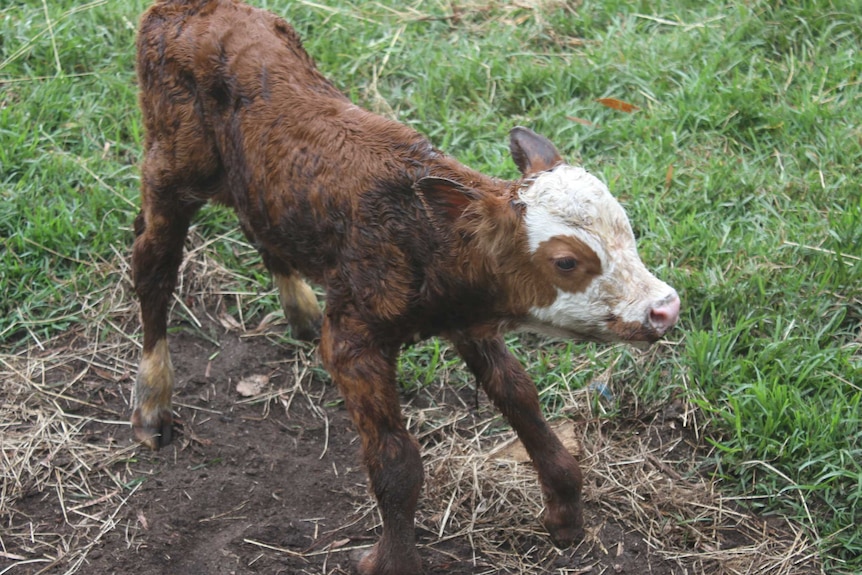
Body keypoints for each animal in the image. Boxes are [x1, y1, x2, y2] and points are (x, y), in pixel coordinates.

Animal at [132, 2, 680, 572]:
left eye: (629, 233)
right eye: (567, 261)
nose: (665, 308)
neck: (423, 236)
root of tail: (184, 9)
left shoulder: (468, 320)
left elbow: (521, 399)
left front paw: (566, 514)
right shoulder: (353, 339)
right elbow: (397, 463)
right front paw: (392, 559)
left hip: (256, 181)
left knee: (255, 222)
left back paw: (300, 310)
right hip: (171, 165)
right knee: (152, 264)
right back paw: (151, 403)